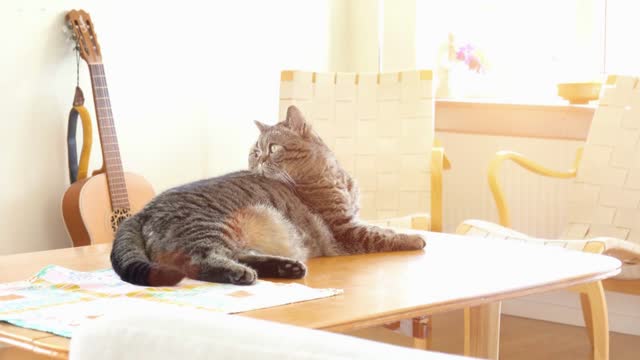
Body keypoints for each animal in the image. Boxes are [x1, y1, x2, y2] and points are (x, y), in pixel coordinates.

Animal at [111, 105, 424, 286]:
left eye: (272, 148)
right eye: (255, 151)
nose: (259, 160)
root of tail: (141, 211)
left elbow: (380, 228)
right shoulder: (344, 228)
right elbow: (381, 234)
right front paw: (414, 238)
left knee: (237, 255)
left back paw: (287, 268)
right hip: (208, 228)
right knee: (200, 262)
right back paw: (241, 274)